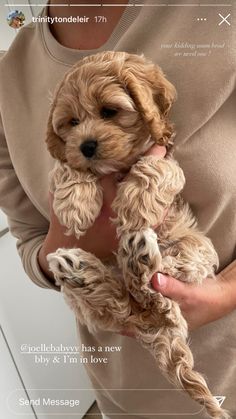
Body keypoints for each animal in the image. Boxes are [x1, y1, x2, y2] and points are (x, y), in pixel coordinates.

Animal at [46, 52, 230, 419]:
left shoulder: (164, 154)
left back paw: (140, 259)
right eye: (72, 122)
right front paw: (75, 203)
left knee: (160, 286)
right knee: (118, 301)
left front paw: (135, 206)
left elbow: (161, 168)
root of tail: (151, 325)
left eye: (109, 111)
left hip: (197, 249)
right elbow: (64, 167)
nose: (86, 146)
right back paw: (82, 270)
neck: (117, 169)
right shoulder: (69, 159)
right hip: (89, 303)